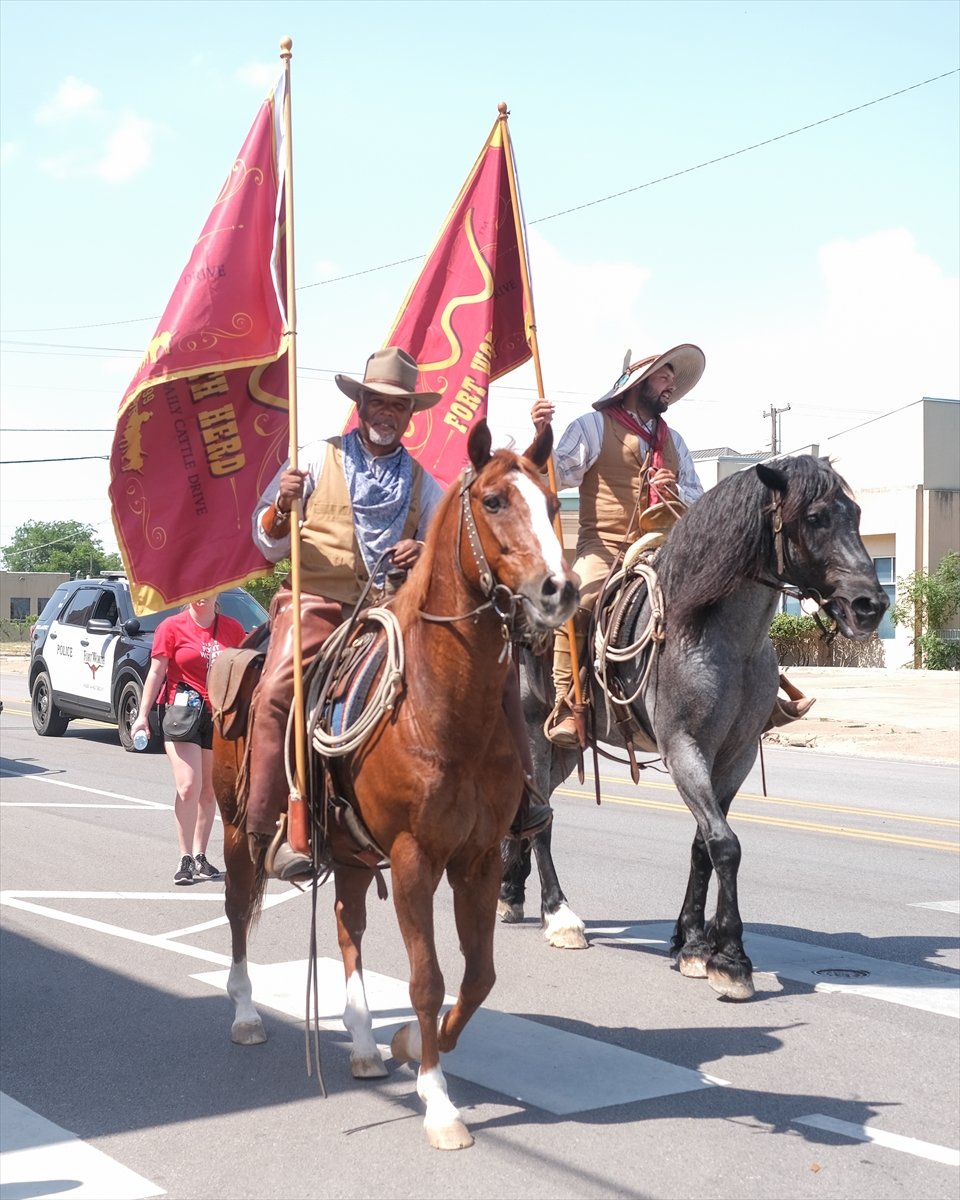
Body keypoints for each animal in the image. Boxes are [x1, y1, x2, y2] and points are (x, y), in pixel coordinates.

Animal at [213, 417, 578, 1147]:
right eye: (494, 500)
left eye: (554, 503)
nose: (558, 589)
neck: (440, 709)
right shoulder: (414, 859)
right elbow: (428, 978)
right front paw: (438, 1101)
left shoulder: (478, 859)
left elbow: (479, 975)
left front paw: (412, 1044)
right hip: (241, 829)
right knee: (239, 910)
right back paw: (245, 1015)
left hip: (354, 853)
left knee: (347, 924)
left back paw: (361, 1044)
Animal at [499, 453, 888, 998]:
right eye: (814, 518)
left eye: (855, 514)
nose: (870, 605)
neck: (718, 633)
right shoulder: (685, 747)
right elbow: (725, 844)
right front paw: (730, 958)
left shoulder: (735, 755)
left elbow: (703, 843)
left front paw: (691, 943)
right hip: (534, 729)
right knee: (541, 816)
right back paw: (559, 916)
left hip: (567, 749)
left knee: (533, 808)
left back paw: (511, 891)